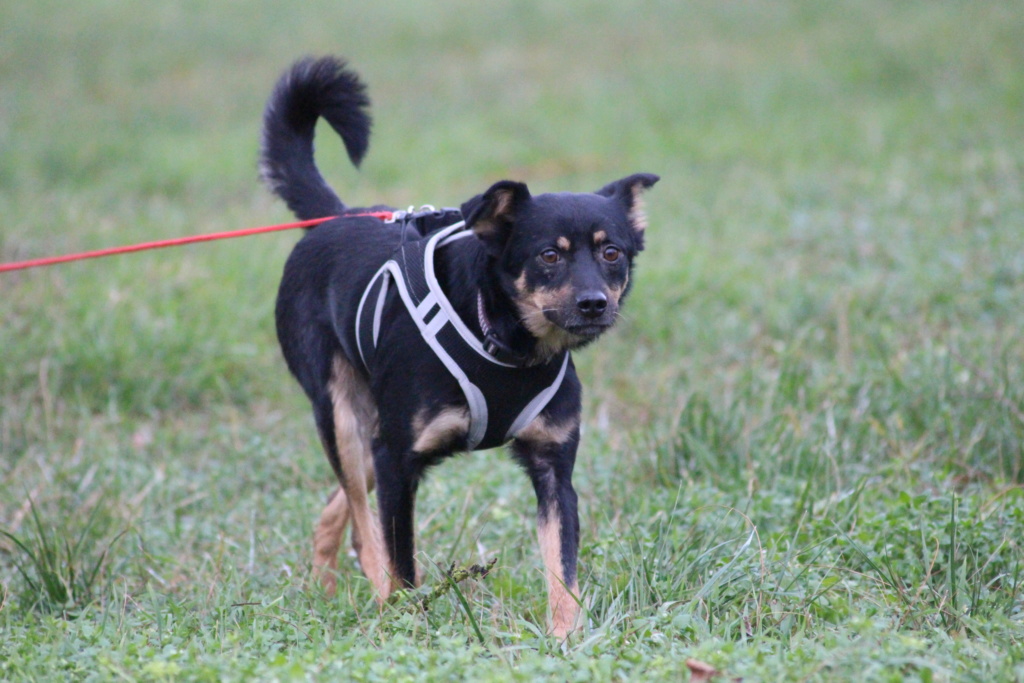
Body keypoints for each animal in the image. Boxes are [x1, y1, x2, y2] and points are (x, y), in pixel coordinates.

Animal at [260, 56, 659, 638]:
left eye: (612, 253)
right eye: (548, 256)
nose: (594, 304)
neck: (508, 345)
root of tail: (334, 216)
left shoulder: (553, 466)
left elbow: (561, 567)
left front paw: (567, 637)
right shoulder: (398, 459)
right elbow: (402, 562)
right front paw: (406, 625)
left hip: (369, 431)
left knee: (342, 507)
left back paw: (326, 585)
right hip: (343, 416)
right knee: (361, 515)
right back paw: (368, 591)